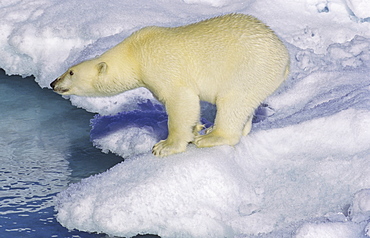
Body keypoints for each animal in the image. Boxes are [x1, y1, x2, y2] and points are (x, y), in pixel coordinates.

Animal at [50, 13, 290, 157]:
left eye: (71, 72)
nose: (53, 82)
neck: (135, 53)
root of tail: (285, 58)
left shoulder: (161, 66)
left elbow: (181, 100)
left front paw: (165, 145)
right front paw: (197, 126)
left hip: (248, 69)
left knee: (232, 102)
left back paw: (211, 137)